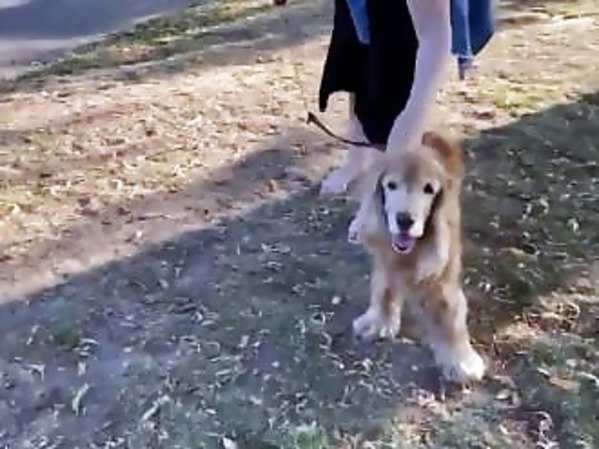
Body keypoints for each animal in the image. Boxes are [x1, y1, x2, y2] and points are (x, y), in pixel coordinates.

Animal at [349, 131, 486, 383]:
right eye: (391, 185)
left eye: (429, 189)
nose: (405, 220)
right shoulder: (386, 258)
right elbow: (384, 290)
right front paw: (379, 322)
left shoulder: (442, 274)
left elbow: (450, 314)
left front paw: (460, 361)